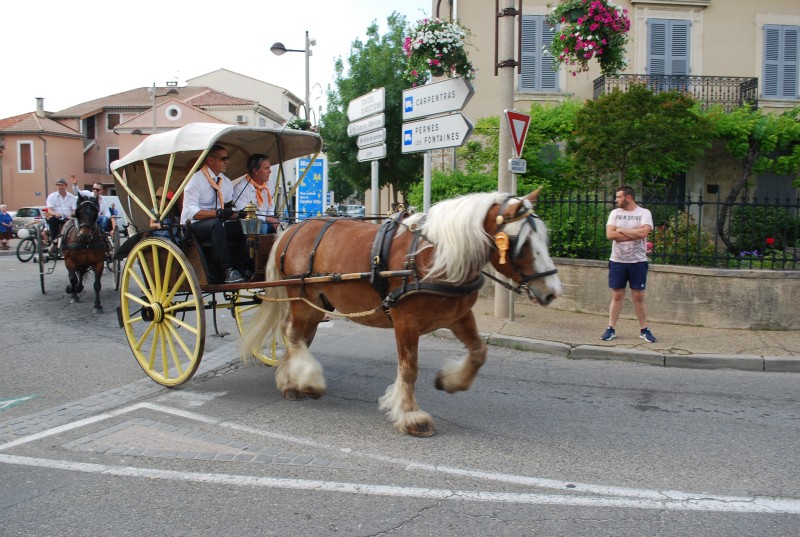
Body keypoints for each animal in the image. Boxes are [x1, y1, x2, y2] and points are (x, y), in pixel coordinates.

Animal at [244, 188, 564, 436]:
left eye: (544, 239)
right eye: (522, 243)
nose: (552, 291)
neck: (434, 256)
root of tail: (293, 229)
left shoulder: (458, 316)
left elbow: (478, 353)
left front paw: (450, 381)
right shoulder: (406, 321)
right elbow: (409, 369)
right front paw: (411, 415)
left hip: (317, 304)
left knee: (300, 337)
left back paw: (292, 379)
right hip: (301, 299)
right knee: (293, 334)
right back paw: (305, 380)